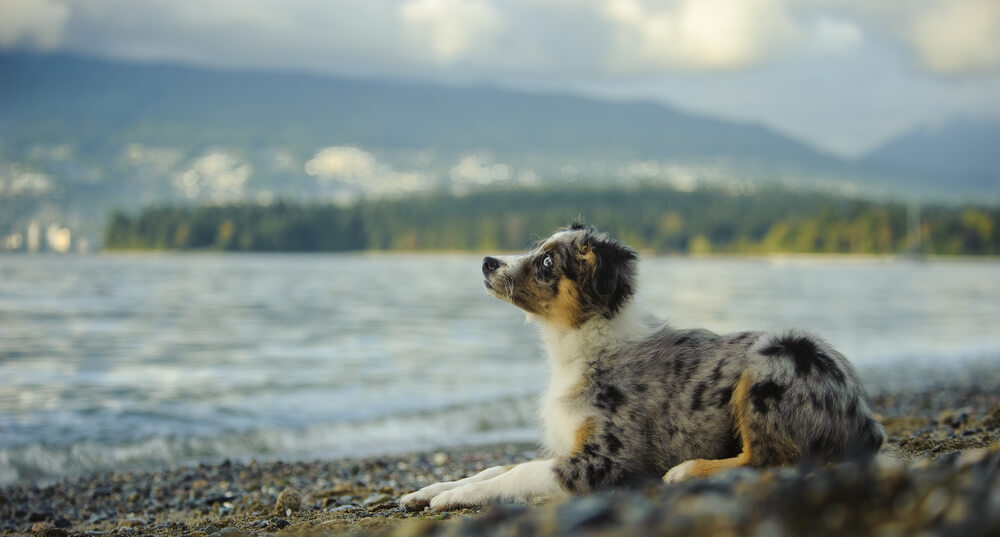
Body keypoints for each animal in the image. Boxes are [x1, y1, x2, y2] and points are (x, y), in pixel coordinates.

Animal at [398, 222, 884, 510]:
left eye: (547, 262)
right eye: (538, 248)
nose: (486, 262)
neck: (583, 343)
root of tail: (868, 419)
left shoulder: (603, 460)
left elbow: (519, 473)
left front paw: (459, 495)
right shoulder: (569, 443)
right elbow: (497, 467)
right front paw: (432, 489)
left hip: (777, 357)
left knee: (771, 458)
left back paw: (687, 471)